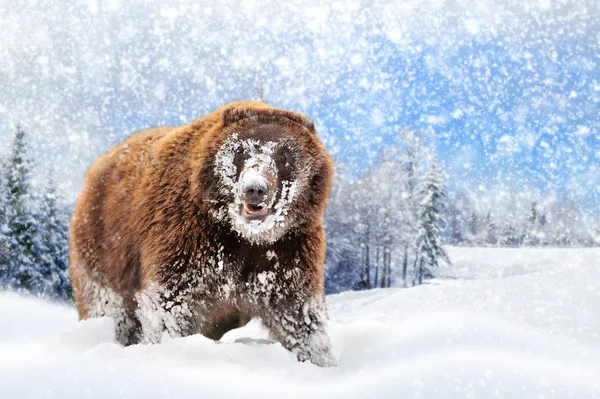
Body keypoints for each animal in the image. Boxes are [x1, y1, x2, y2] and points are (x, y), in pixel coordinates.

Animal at [70, 101, 338, 368]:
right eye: (241, 151)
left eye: (283, 155)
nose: (255, 189)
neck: (245, 235)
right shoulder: (190, 238)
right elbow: (171, 303)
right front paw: (168, 349)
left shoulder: (286, 250)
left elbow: (298, 313)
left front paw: (319, 359)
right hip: (105, 248)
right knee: (109, 308)